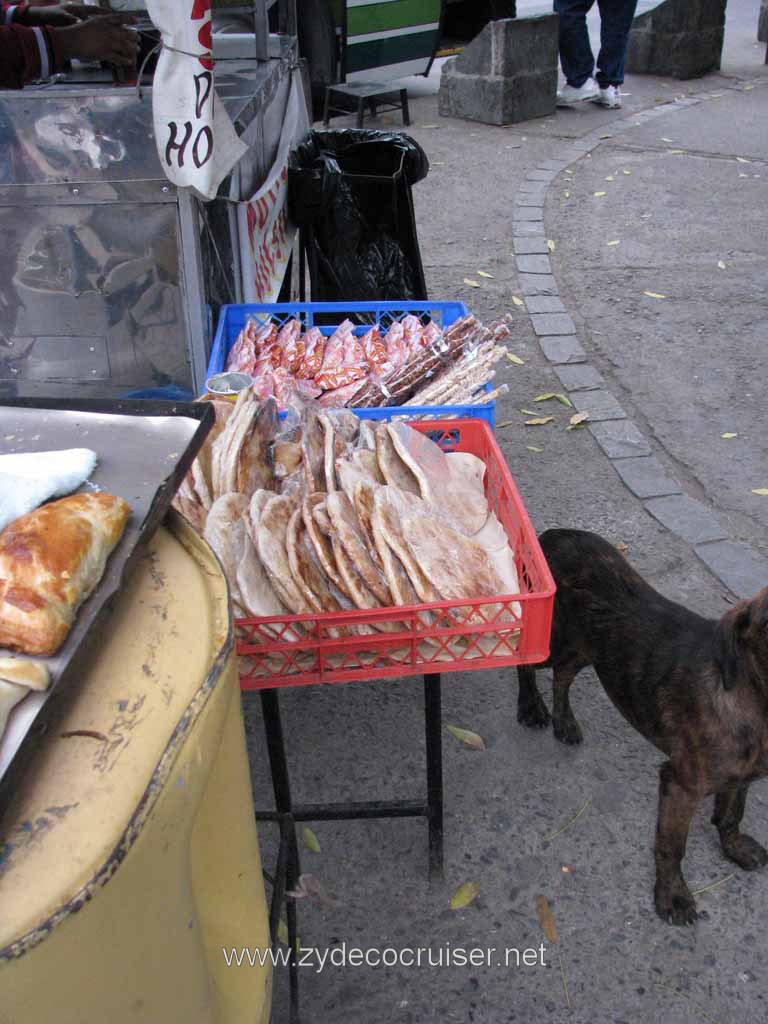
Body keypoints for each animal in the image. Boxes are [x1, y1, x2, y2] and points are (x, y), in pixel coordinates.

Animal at [518, 532, 768, 925]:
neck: (752, 697)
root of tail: (553, 535)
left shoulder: (742, 776)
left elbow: (731, 815)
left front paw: (736, 849)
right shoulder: (680, 785)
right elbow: (671, 847)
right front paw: (672, 896)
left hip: (589, 650)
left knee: (562, 675)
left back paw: (564, 721)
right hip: (552, 637)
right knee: (526, 662)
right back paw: (531, 706)